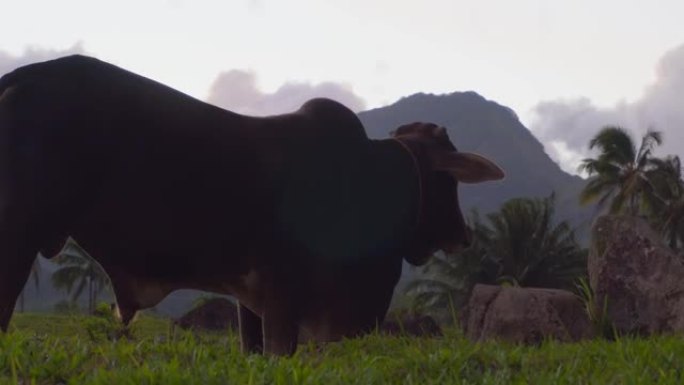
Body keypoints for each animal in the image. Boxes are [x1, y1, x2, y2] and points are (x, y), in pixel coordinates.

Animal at [0, 54, 502, 354]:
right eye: (449, 182)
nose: (463, 235)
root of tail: (25, 75)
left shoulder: (255, 303)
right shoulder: (284, 297)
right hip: (16, 237)